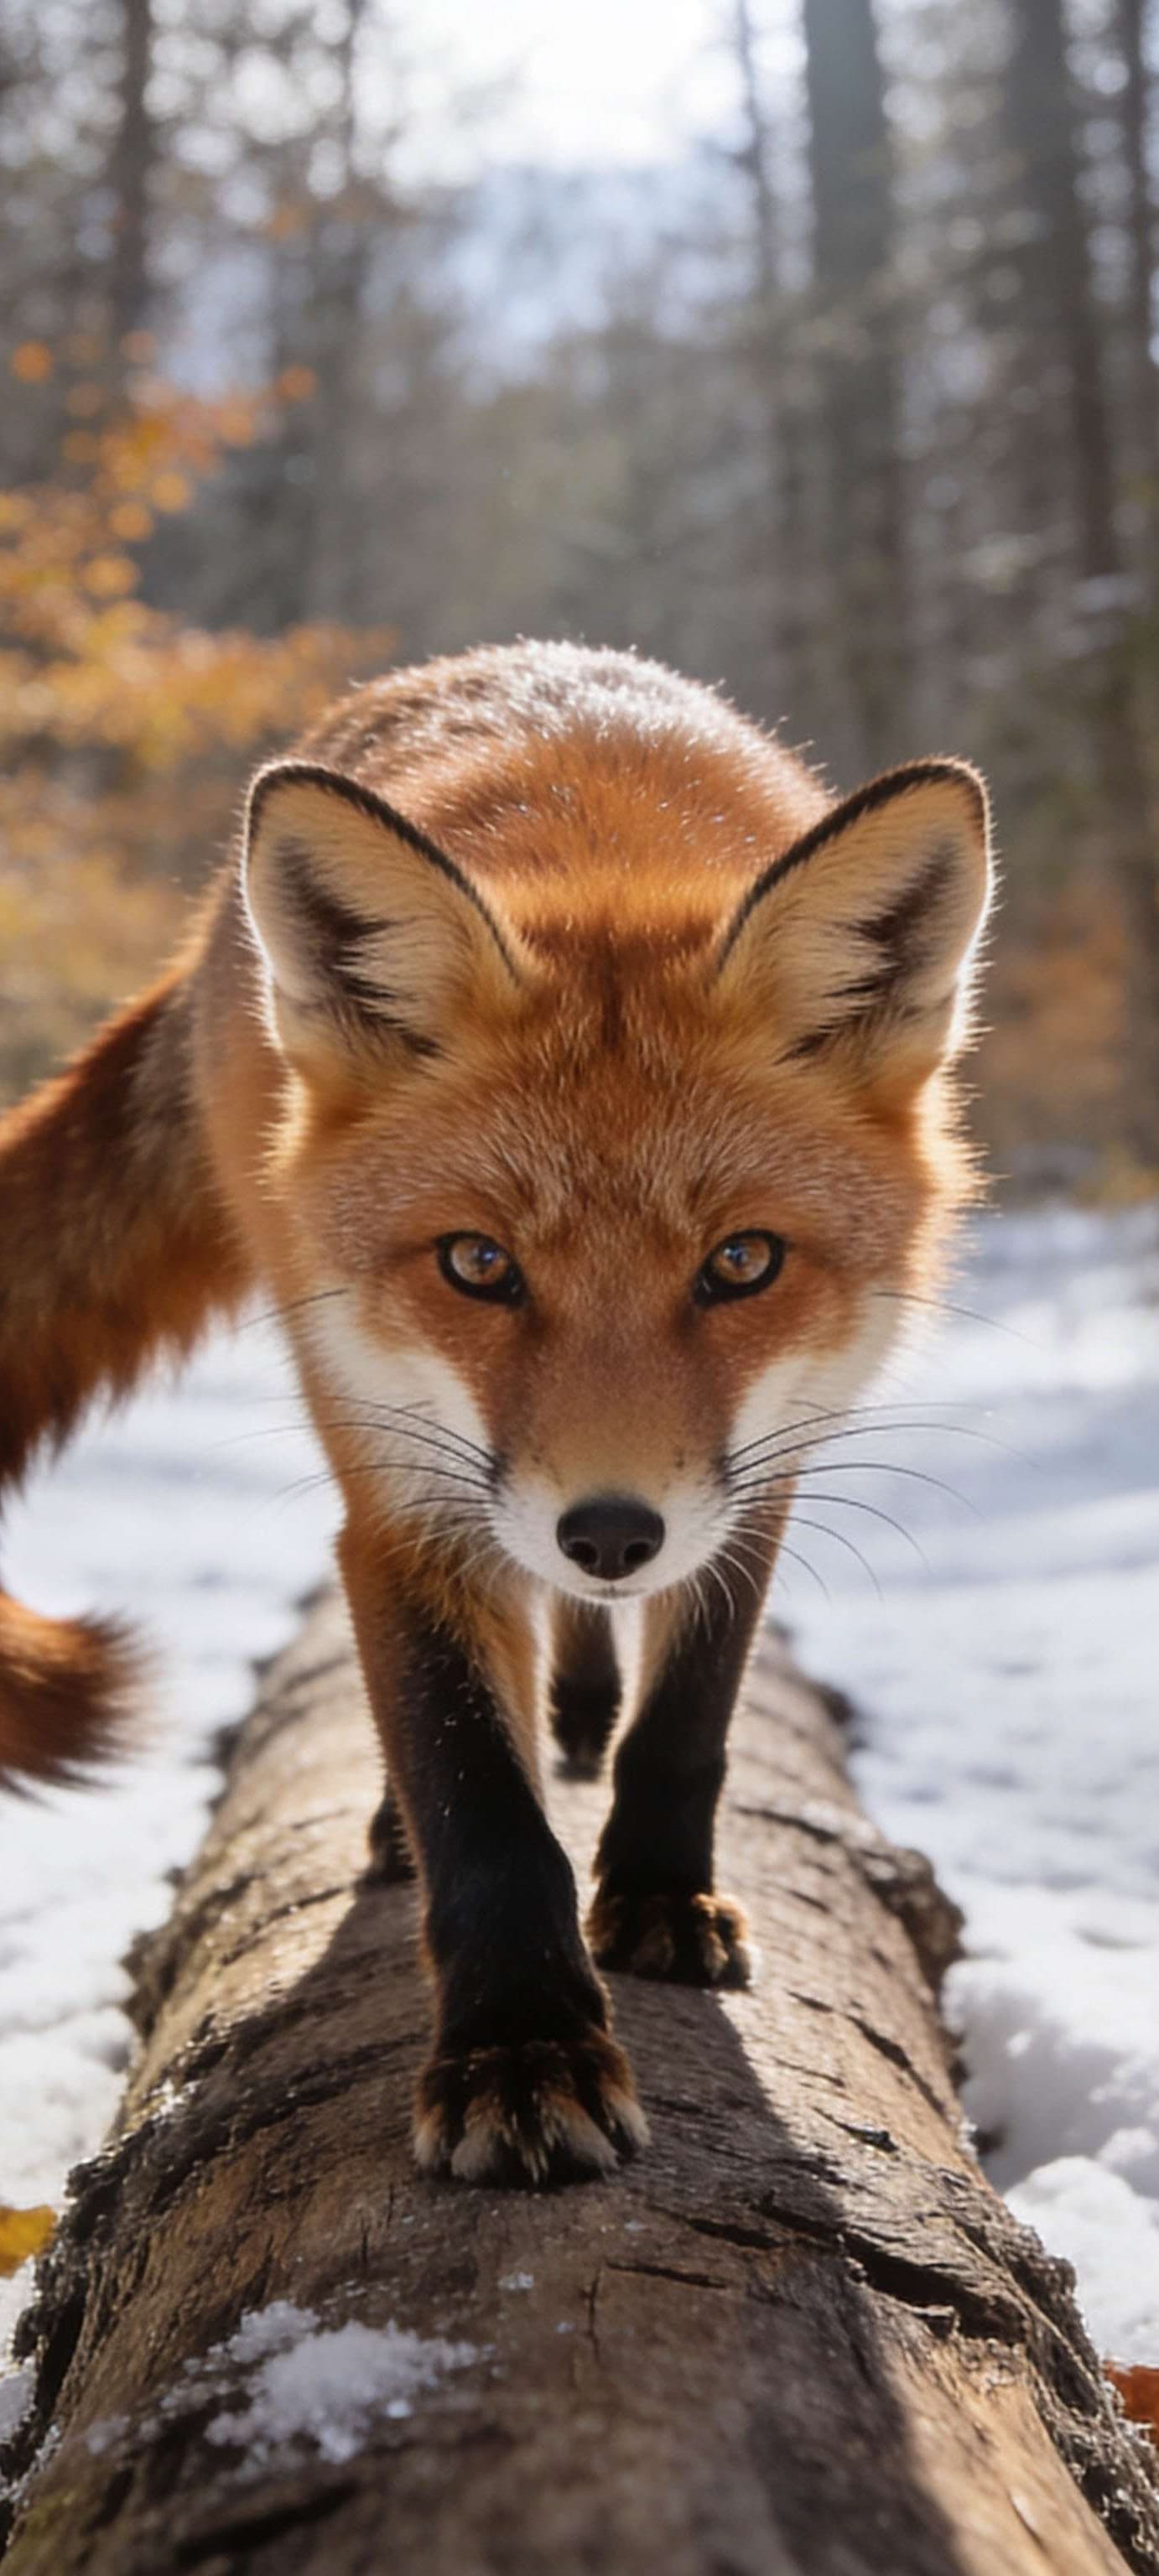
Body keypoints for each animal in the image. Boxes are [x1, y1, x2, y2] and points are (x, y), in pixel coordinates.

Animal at [0, 640, 992, 2187]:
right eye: (476, 1264)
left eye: (741, 1263)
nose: (609, 1531)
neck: (600, 836)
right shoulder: (403, 1496)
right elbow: (477, 1795)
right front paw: (520, 2045)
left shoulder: (758, 1476)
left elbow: (687, 1717)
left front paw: (655, 1893)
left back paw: (582, 1697)